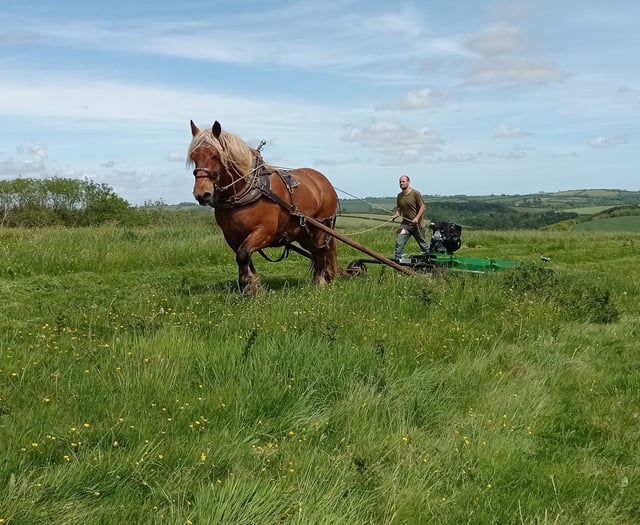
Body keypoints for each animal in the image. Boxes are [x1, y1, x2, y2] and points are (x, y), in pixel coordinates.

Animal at [188, 119, 342, 294]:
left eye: (216, 155)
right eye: (193, 157)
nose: (202, 194)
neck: (247, 189)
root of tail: (325, 182)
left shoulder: (265, 231)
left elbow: (242, 255)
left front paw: (248, 285)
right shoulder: (231, 236)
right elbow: (245, 258)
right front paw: (252, 287)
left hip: (321, 227)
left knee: (321, 251)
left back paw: (320, 281)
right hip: (303, 233)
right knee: (316, 253)